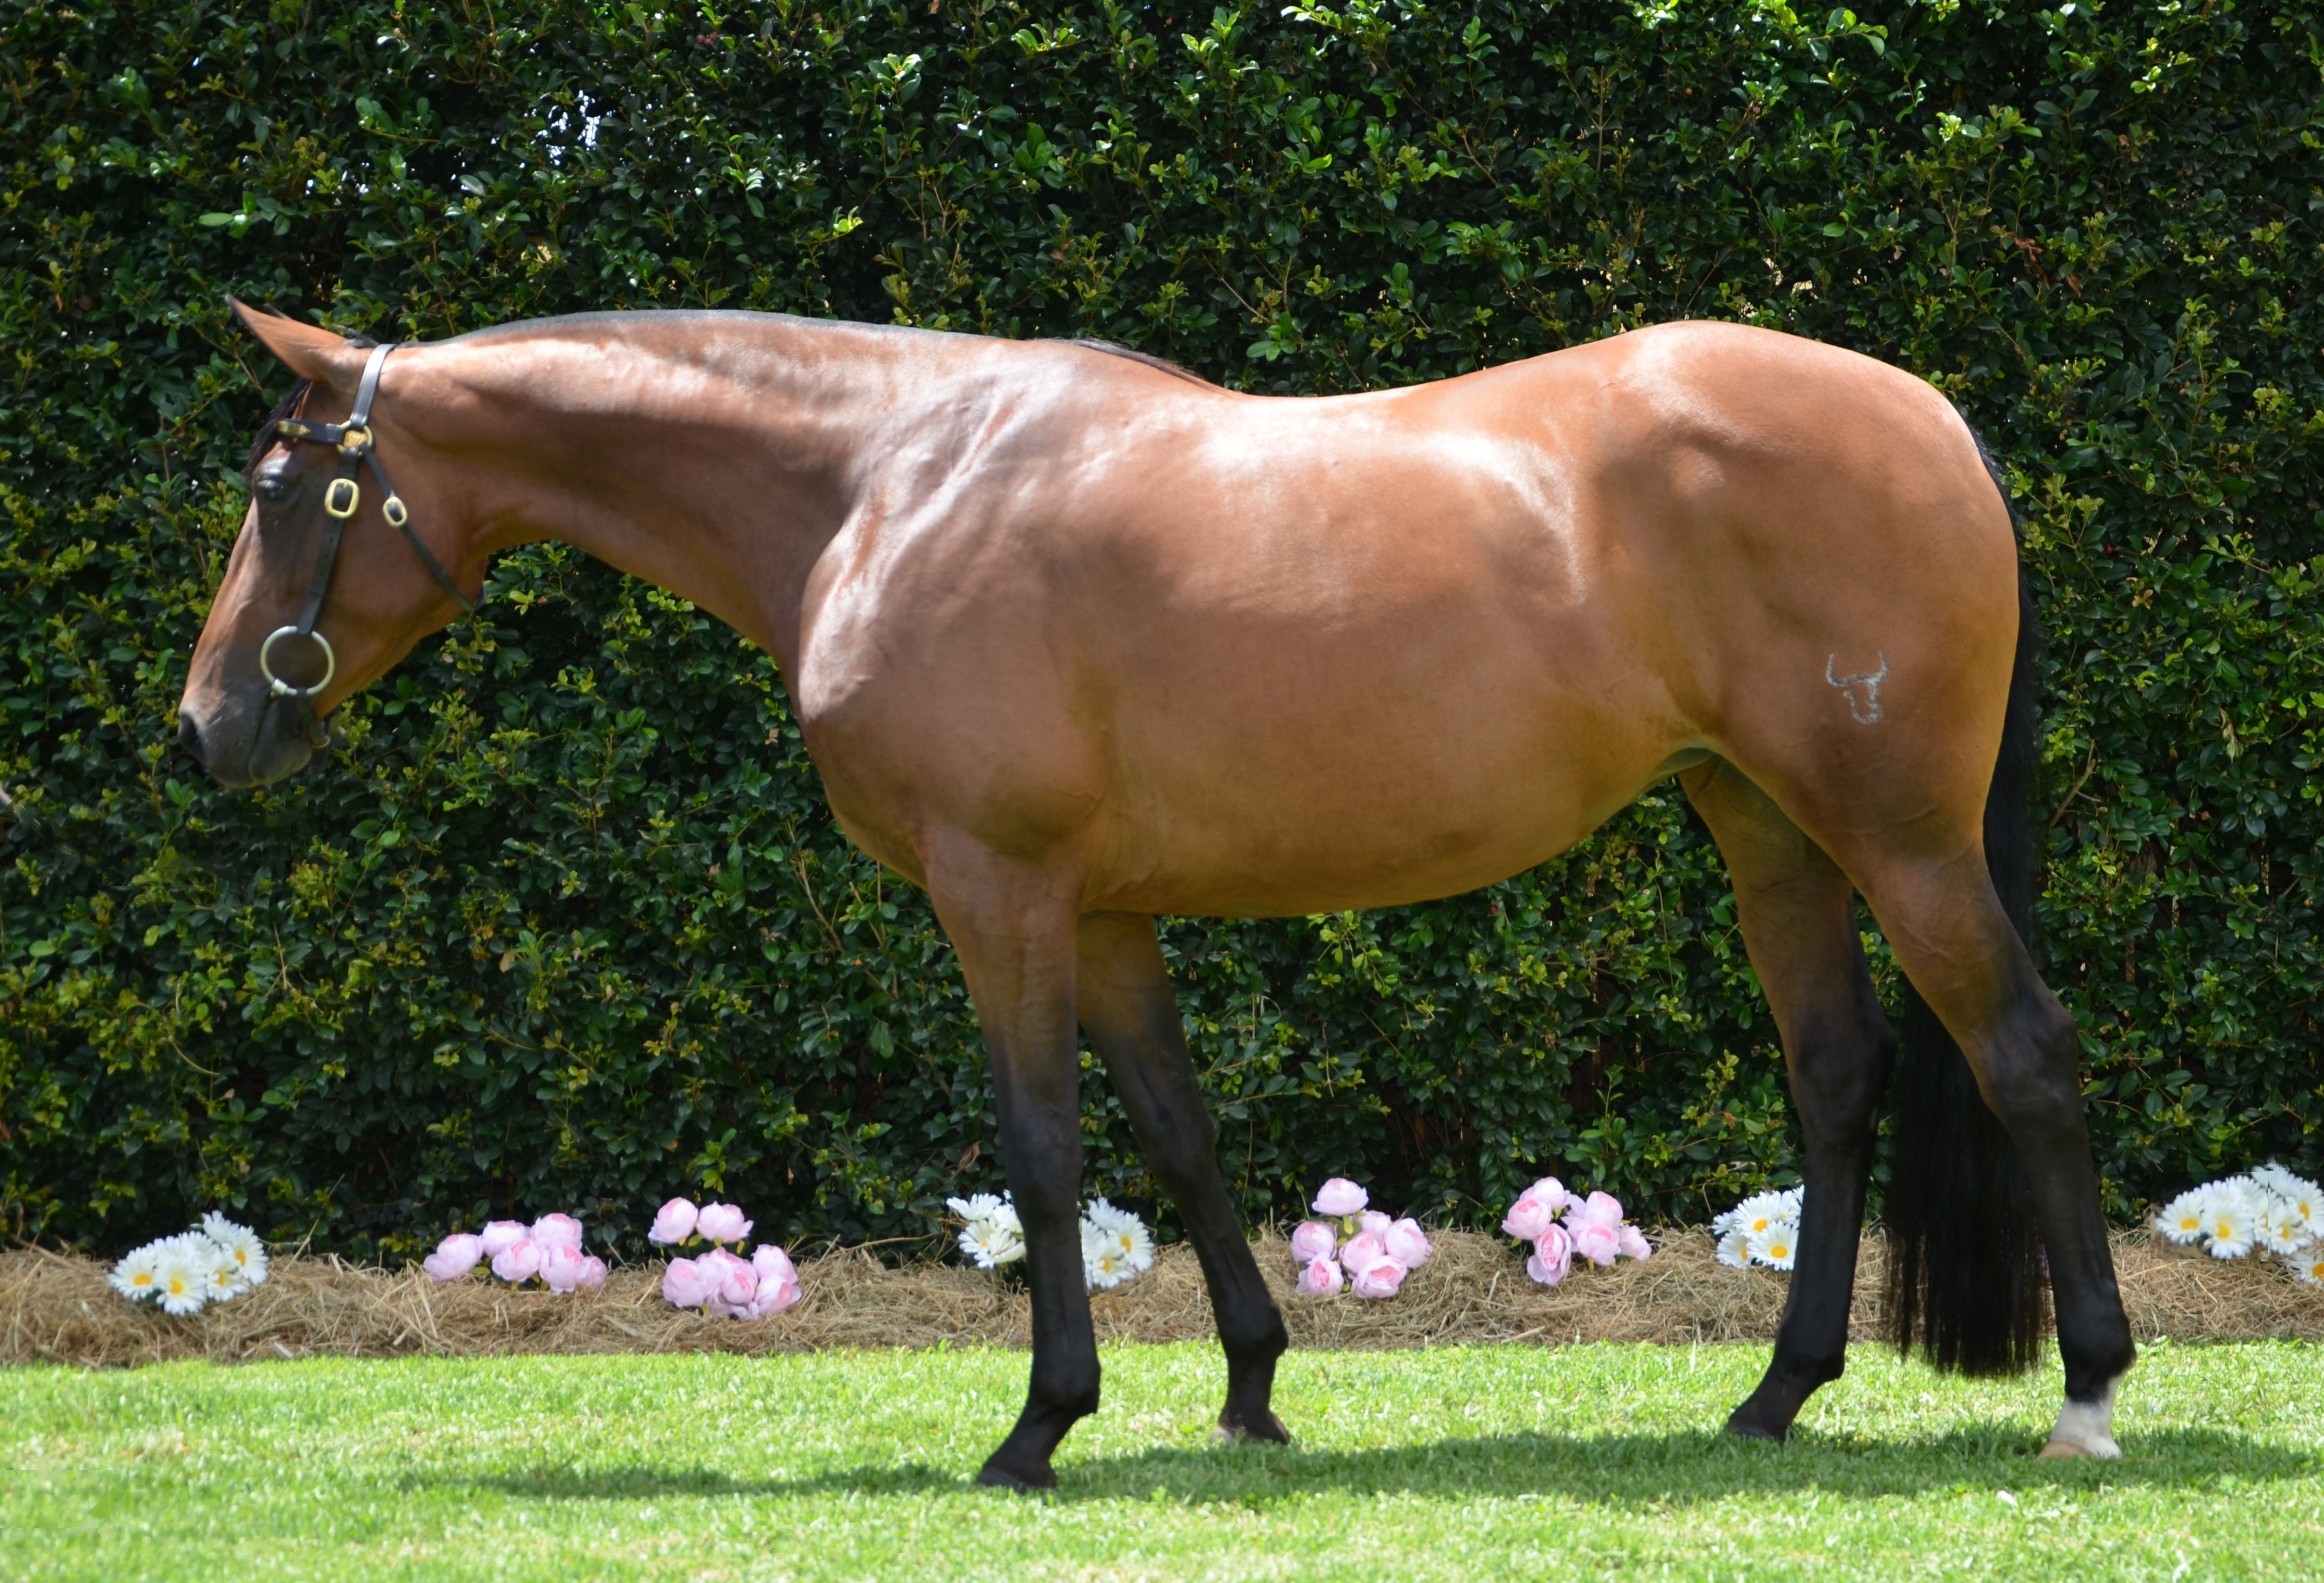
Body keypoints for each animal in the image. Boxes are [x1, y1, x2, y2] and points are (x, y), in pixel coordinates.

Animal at [179, 301, 2135, 1487]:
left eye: (286, 486)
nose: (206, 729)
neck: (884, 484)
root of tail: (1933, 421)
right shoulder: (1103, 910)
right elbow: (1179, 1134)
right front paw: (1251, 1390)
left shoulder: (997, 892)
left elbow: (1043, 1147)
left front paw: (1037, 1424)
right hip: (1762, 822)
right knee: (1836, 1075)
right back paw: (1772, 1393)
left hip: (1897, 836)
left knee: (2024, 1057)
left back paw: (2089, 1392)